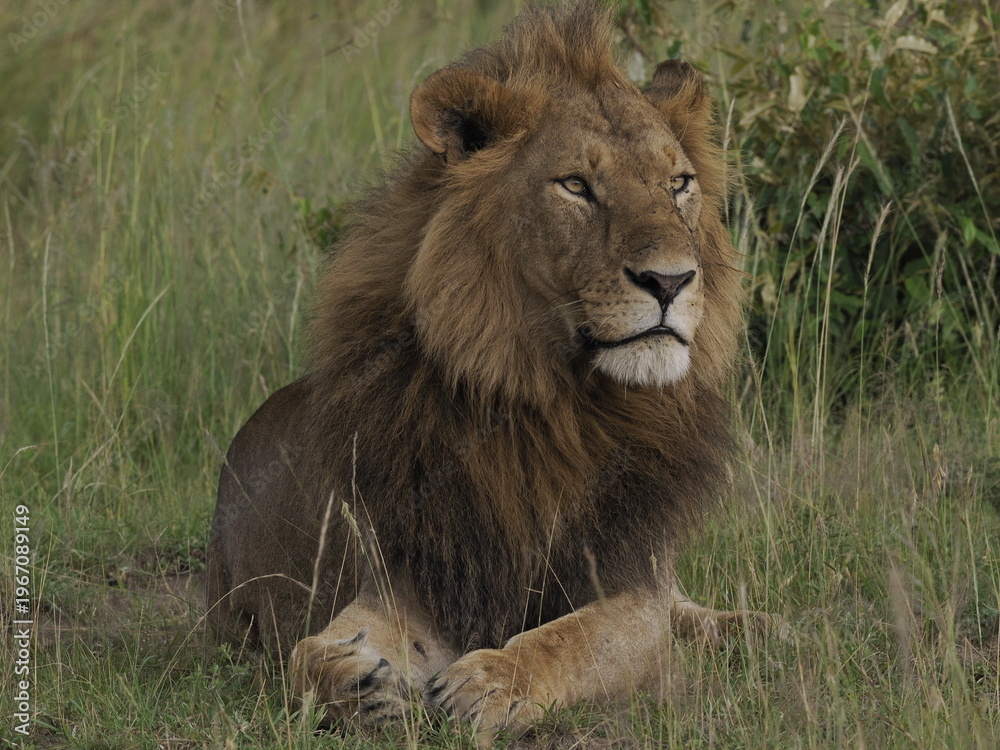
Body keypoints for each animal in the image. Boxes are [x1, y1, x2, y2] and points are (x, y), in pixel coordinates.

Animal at [207, 1, 756, 743]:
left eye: (679, 184)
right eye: (576, 186)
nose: (670, 281)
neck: (555, 401)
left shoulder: (630, 583)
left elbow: (578, 637)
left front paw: (493, 680)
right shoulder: (414, 572)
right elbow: (308, 653)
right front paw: (357, 681)